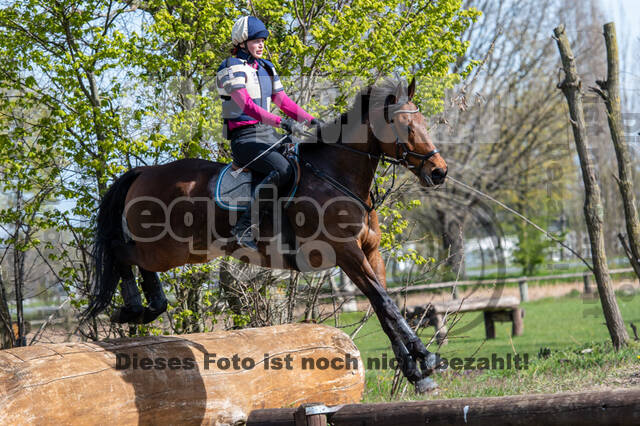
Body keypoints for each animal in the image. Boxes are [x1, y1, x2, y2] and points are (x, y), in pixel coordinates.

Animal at [84, 77, 444, 392]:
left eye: (424, 122)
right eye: (405, 125)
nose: (439, 171)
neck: (336, 176)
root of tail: (145, 171)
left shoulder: (371, 253)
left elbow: (383, 308)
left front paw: (416, 373)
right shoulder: (346, 253)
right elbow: (386, 303)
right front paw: (426, 357)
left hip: (181, 250)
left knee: (138, 262)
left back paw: (150, 306)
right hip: (167, 248)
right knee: (121, 251)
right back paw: (134, 308)